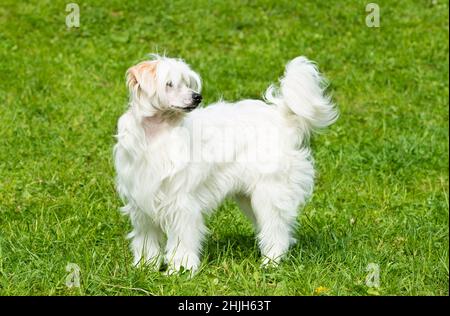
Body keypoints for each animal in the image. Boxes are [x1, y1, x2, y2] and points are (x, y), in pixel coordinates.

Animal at [112, 55, 338, 274]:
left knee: (276, 229)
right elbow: (147, 240)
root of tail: (281, 118)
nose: (197, 97)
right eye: (169, 84)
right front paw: (145, 265)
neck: (156, 136)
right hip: (249, 198)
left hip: (269, 193)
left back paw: (271, 261)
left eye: (187, 83)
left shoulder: (181, 204)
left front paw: (181, 268)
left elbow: (182, 240)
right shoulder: (142, 205)